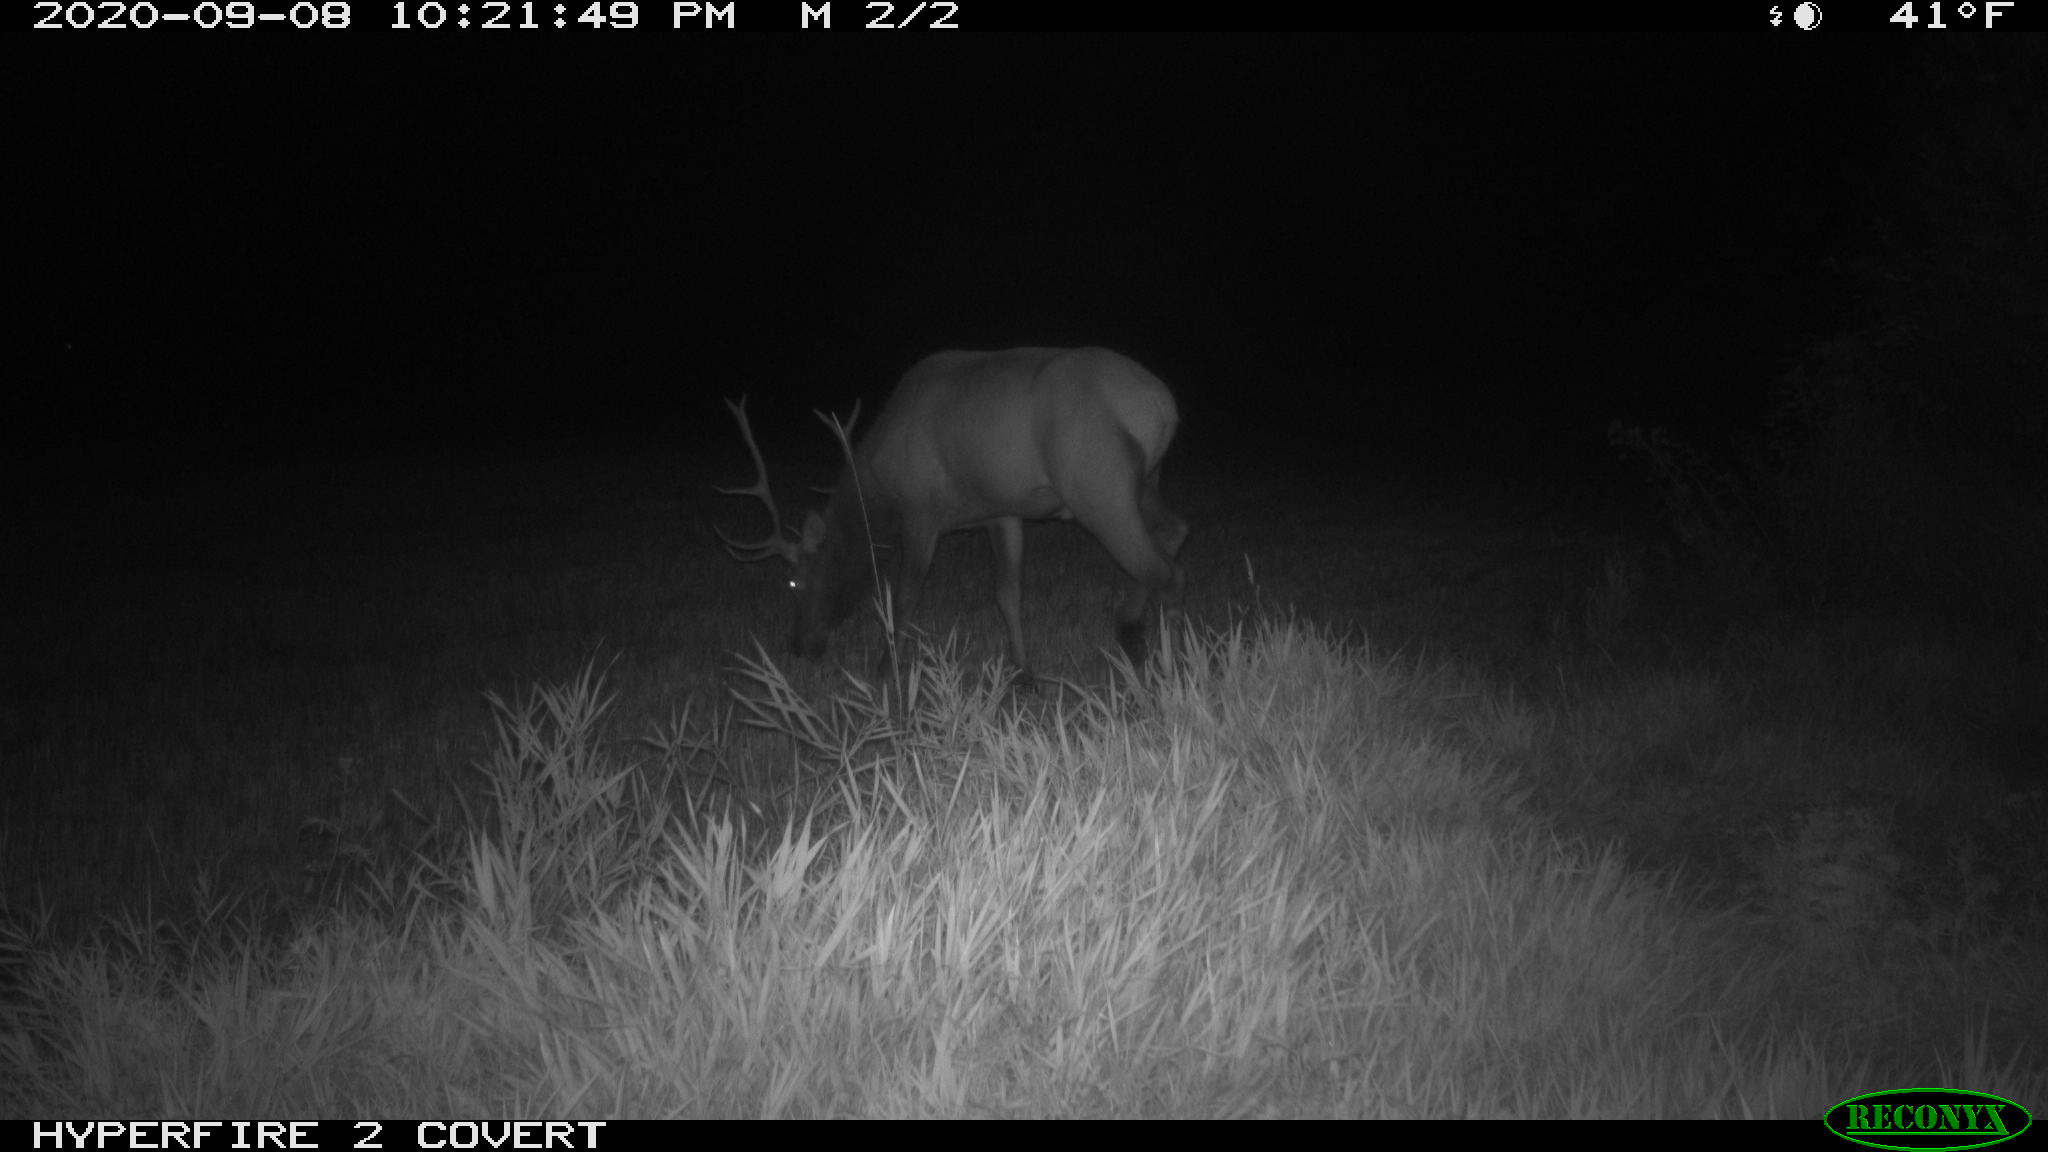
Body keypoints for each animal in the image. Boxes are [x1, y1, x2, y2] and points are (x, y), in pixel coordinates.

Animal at [720, 340, 1196, 680]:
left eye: (794, 582)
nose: (799, 646)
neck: (879, 490)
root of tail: (1162, 404)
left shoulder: (920, 512)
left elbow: (904, 594)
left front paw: (886, 666)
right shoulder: (1002, 509)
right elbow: (1007, 593)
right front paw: (1023, 671)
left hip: (1098, 489)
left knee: (1165, 571)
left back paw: (1172, 669)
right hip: (1145, 481)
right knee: (1177, 530)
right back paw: (1130, 629)